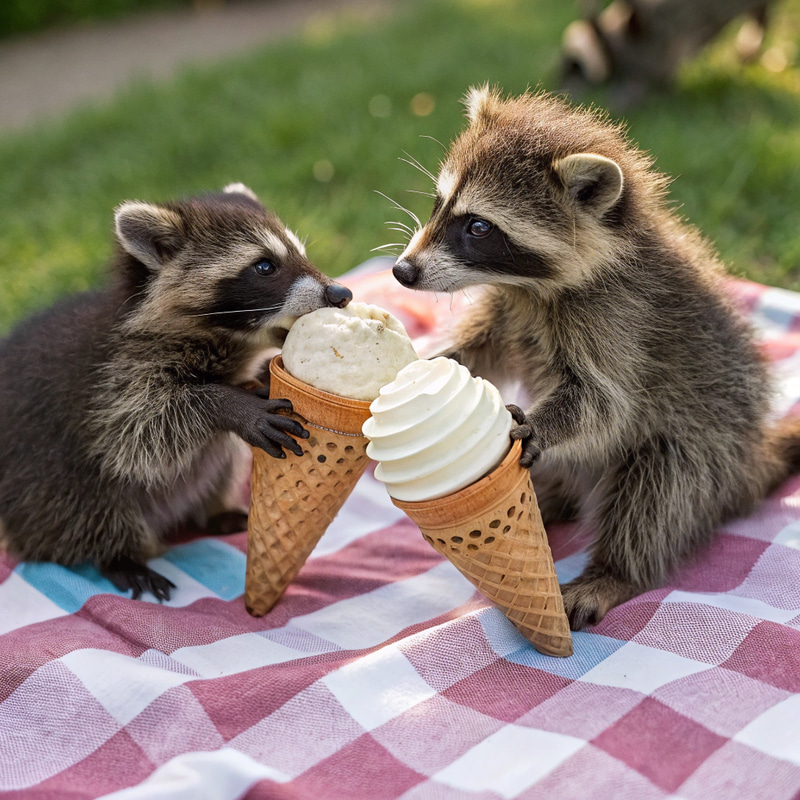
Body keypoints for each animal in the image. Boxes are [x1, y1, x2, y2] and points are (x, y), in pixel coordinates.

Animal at [0, 183, 352, 600]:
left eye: (301, 254)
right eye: (265, 266)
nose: (341, 292)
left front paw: (259, 380)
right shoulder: (113, 379)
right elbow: (142, 428)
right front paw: (228, 405)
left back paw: (212, 512)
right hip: (44, 485)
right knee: (88, 504)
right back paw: (119, 557)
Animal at [392, 87, 800, 629]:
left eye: (478, 227)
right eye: (439, 203)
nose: (402, 272)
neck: (530, 288)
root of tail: (752, 460)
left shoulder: (620, 319)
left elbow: (605, 402)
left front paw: (540, 425)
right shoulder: (510, 308)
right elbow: (481, 349)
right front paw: (432, 362)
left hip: (708, 451)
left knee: (658, 491)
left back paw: (614, 570)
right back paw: (545, 503)